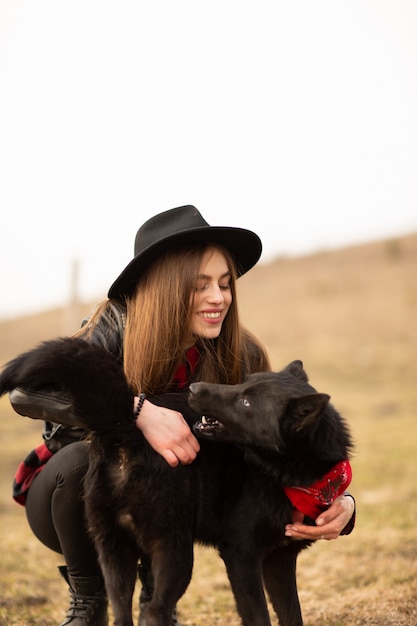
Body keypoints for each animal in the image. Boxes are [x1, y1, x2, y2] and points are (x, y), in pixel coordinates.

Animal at [0, 338, 352, 620]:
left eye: (246, 401)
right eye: (242, 386)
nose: (195, 390)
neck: (288, 474)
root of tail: (127, 433)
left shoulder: (280, 561)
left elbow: (292, 615)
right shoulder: (241, 556)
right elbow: (258, 616)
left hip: (115, 551)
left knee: (123, 611)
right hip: (175, 549)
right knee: (155, 611)